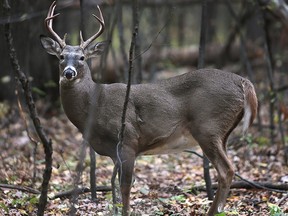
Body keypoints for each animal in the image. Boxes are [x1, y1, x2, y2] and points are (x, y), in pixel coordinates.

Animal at [40, 2, 256, 216]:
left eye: (82, 58)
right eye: (61, 56)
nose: (69, 73)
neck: (96, 104)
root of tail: (243, 81)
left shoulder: (128, 140)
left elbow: (126, 186)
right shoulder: (114, 152)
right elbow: (116, 184)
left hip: (208, 126)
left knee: (226, 170)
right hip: (222, 132)